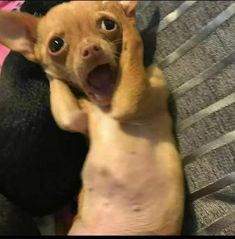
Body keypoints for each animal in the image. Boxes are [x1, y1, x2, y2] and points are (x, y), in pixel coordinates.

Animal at [0, 0, 185, 235]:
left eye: (108, 25)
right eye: (56, 45)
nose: (90, 49)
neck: (106, 107)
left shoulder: (130, 100)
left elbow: (132, 52)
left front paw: (128, 25)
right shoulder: (74, 117)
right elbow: (63, 104)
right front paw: (48, 68)